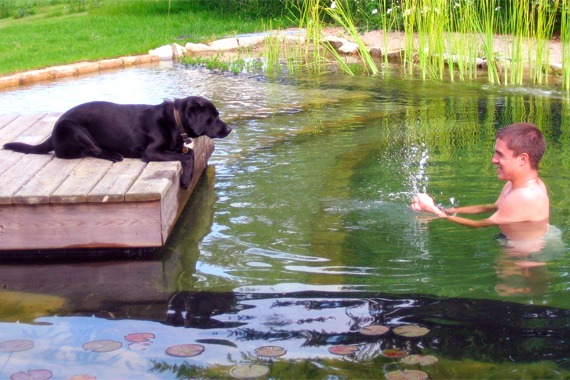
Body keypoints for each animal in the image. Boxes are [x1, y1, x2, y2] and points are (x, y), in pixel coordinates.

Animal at [3, 96, 231, 189]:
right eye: (212, 117)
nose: (229, 129)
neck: (174, 120)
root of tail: (52, 134)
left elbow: (188, 152)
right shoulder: (151, 152)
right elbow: (188, 156)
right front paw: (185, 180)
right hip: (73, 128)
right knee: (93, 151)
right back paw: (113, 155)